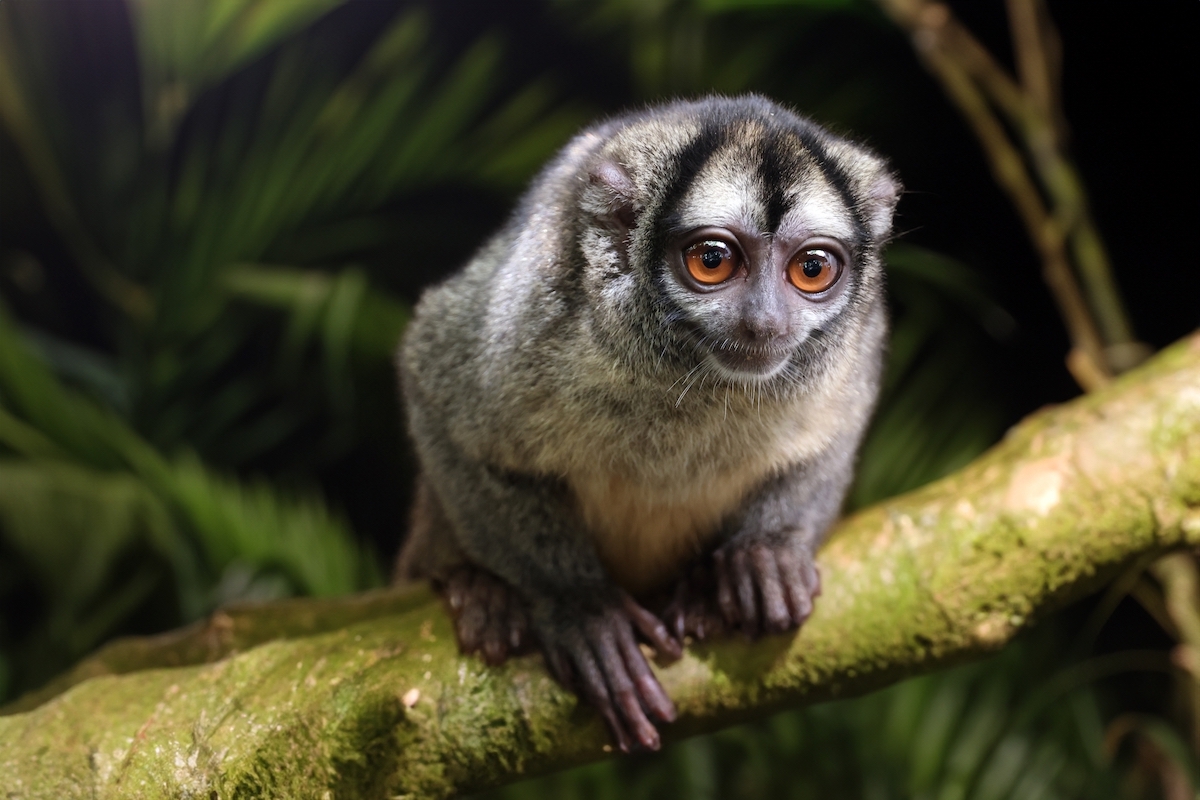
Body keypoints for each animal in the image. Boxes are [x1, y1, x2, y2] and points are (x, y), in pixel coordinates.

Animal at [395, 95, 899, 752]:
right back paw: (480, 595)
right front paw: (581, 608)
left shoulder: (859, 341)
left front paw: (766, 554)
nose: (765, 323)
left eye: (812, 268)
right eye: (712, 260)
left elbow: (835, 437)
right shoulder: (526, 313)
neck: (697, 379)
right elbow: (439, 399)